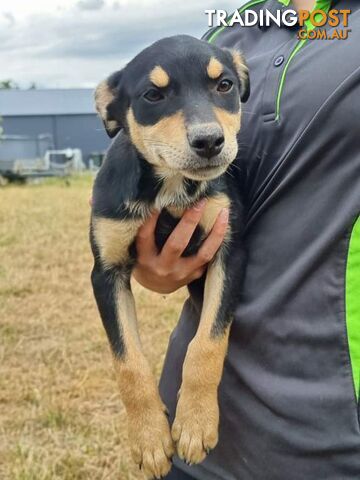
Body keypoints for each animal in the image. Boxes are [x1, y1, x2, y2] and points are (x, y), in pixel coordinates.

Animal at [90, 34, 249, 480]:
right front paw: (149, 439)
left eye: (224, 85)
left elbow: (207, 344)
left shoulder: (229, 254)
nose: (210, 141)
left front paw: (195, 423)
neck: (171, 188)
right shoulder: (105, 273)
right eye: (153, 95)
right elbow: (128, 361)